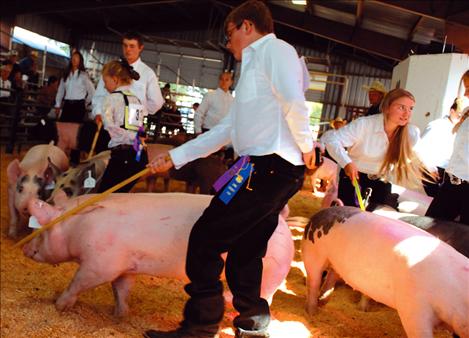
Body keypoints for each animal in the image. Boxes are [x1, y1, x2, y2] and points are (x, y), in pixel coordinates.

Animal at [22, 193, 292, 316]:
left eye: (41, 229)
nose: (25, 249)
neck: (76, 227)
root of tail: (281, 219)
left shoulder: (100, 263)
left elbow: (79, 282)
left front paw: (59, 305)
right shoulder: (125, 265)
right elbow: (121, 289)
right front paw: (119, 315)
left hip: (268, 271)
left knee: (263, 296)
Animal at [300, 206, 468, 338]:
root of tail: (319, 213)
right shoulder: (414, 307)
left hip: (335, 262)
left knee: (332, 275)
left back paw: (326, 302)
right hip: (313, 252)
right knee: (313, 281)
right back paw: (312, 313)